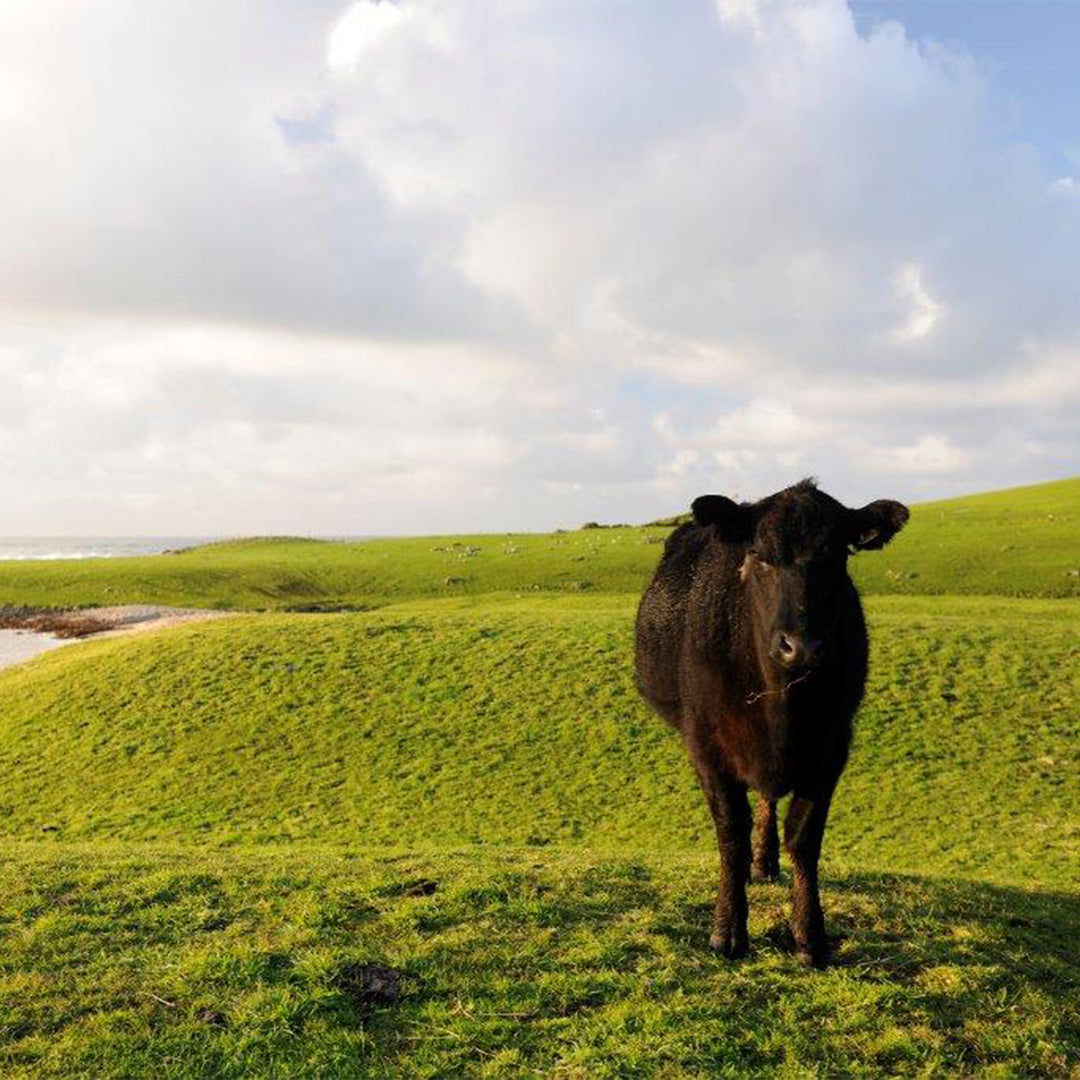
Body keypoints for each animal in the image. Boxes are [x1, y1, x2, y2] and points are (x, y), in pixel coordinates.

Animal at [635, 477, 907, 967]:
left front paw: (810, 937)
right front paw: (727, 930)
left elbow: (803, 837)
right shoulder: (707, 744)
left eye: (837, 556)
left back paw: (763, 863)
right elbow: (730, 833)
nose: (802, 646)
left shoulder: (832, 744)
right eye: (760, 555)